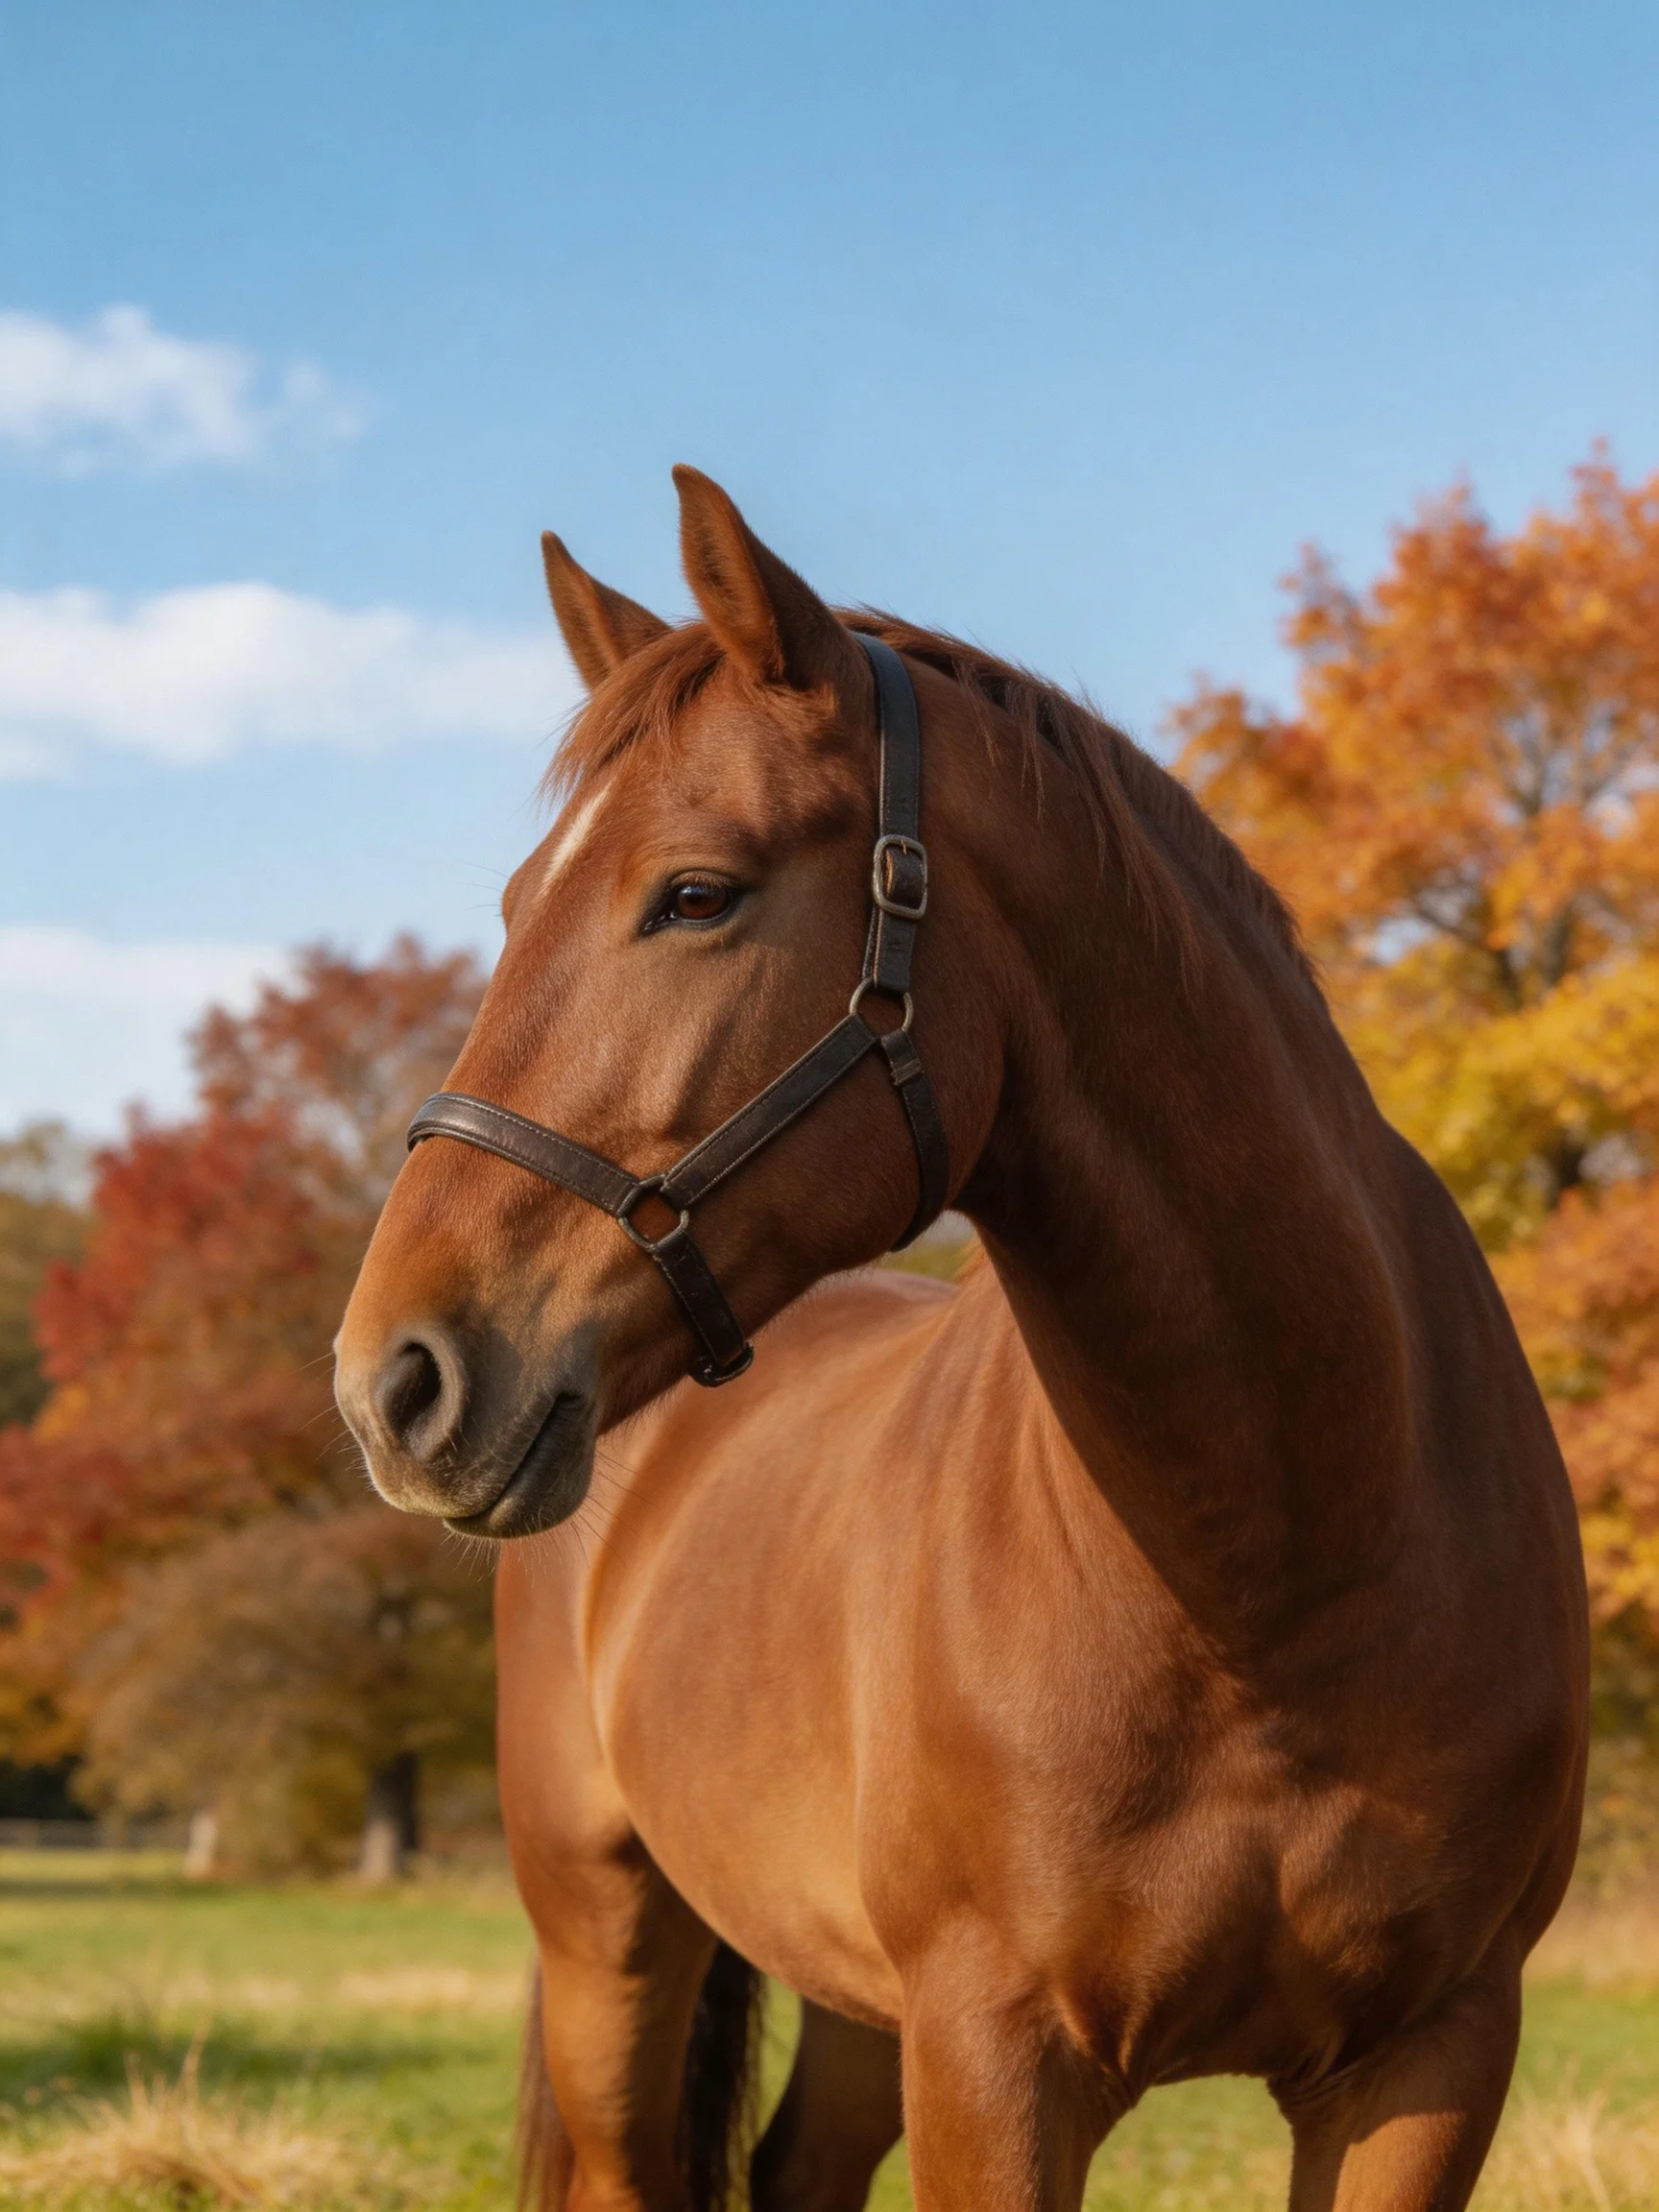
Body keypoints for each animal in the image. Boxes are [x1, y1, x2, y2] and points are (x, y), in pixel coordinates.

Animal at [334, 466, 1588, 2212]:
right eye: (518, 903)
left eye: (696, 893)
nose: (393, 1378)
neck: (1288, 1573)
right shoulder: (998, 2060)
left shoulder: (1429, 2059)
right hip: (610, 1945)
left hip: (858, 2006)